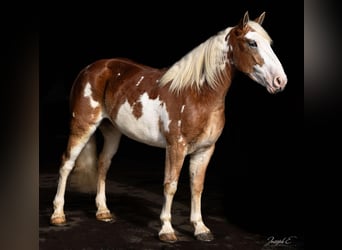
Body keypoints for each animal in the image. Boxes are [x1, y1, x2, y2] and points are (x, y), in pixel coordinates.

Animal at [50, 11, 286, 242]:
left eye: (269, 43)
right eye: (252, 43)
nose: (280, 81)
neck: (197, 93)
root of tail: (89, 69)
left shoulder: (205, 150)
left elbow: (197, 187)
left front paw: (200, 228)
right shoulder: (176, 147)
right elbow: (170, 185)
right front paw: (166, 229)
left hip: (112, 131)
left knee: (103, 164)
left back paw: (103, 211)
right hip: (83, 126)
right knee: (66, 164)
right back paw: (58, 215)